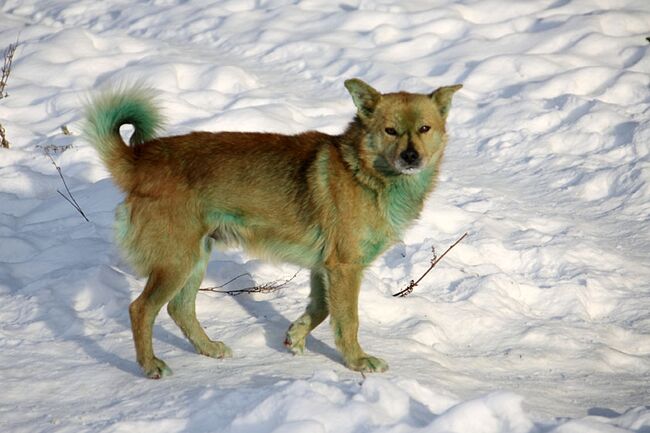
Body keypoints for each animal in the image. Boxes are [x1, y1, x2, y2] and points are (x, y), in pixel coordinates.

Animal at [85, 79, 460, 376]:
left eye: (424, 129)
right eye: (390, 131)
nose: (411, 157)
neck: (367, 172)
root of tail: (140, 160)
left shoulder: (324, 268)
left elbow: (321, 309)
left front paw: (295, 336)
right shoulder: (344, 268)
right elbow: (348, 320)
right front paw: (357, 361)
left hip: (195, 257)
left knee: (180, 309)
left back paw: (209, 349)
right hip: (176, 262)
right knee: (141, 310)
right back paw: (150, 365)